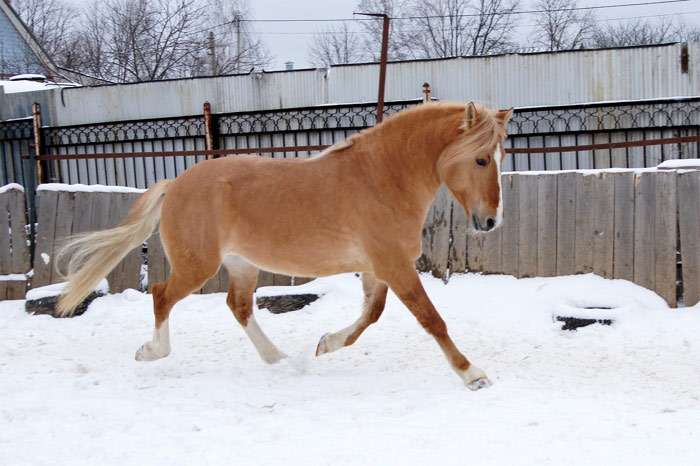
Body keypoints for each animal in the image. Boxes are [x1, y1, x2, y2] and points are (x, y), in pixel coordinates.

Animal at [56, 102, 516, 390]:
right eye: (479, 159)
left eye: (499, 157)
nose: (491, 221)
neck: (381, 176)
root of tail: (176, 183)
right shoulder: (393, 265)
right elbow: (430, 319)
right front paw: (473, 374)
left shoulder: (378, 267)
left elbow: (371, 315)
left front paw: (325, 344)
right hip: (196, 265)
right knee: (161, 295)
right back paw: (150, 351)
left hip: (241, 265)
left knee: (238, 306)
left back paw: (278, 358)